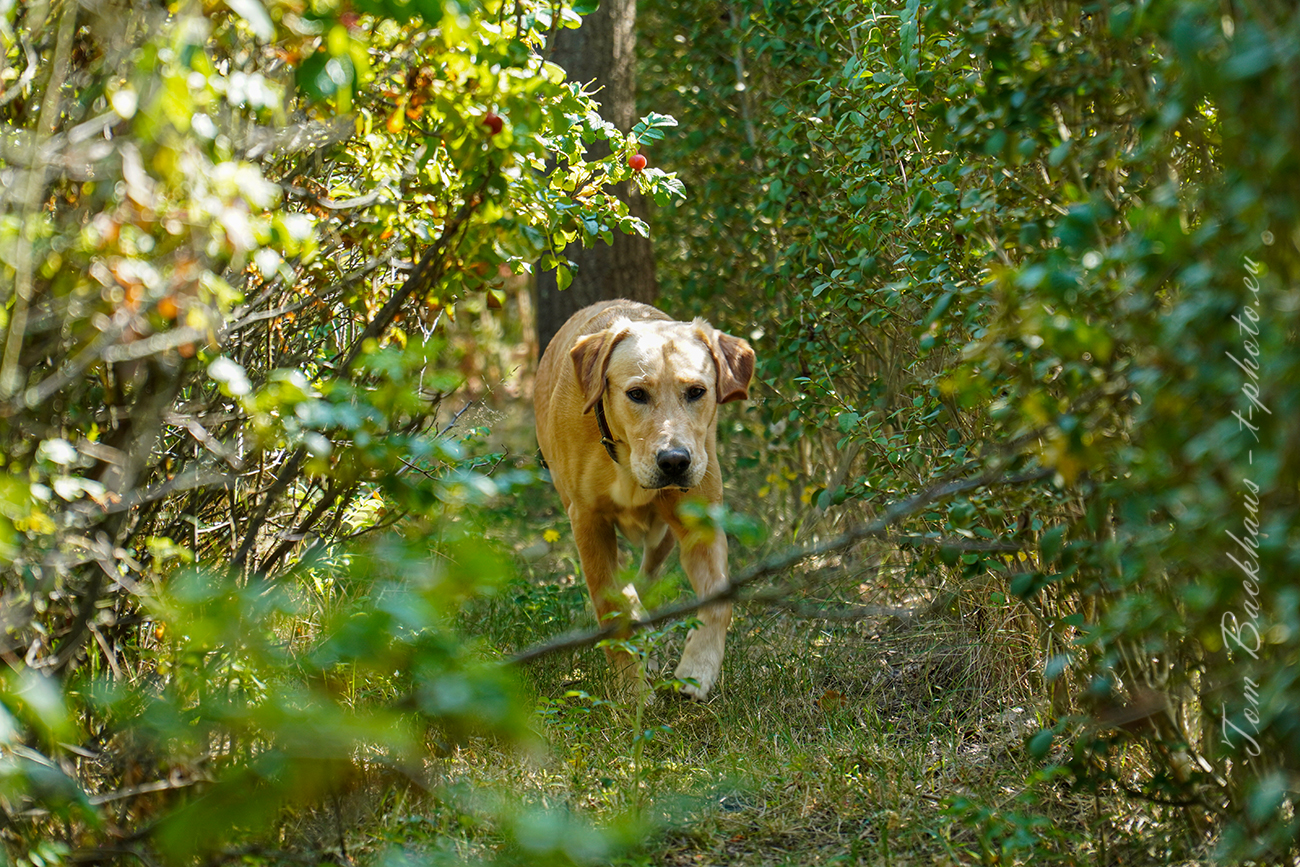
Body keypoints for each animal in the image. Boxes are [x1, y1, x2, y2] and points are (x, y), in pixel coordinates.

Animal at [533, 301, 759, 701]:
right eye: (637, 394)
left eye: (696, 391)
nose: (674, 461)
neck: (625, 461)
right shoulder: (588, 522)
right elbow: (612, 604)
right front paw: (631, 689)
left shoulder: (699, 522)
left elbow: (718, 599)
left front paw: (698, 670)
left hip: (662, 536)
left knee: (647, 577)